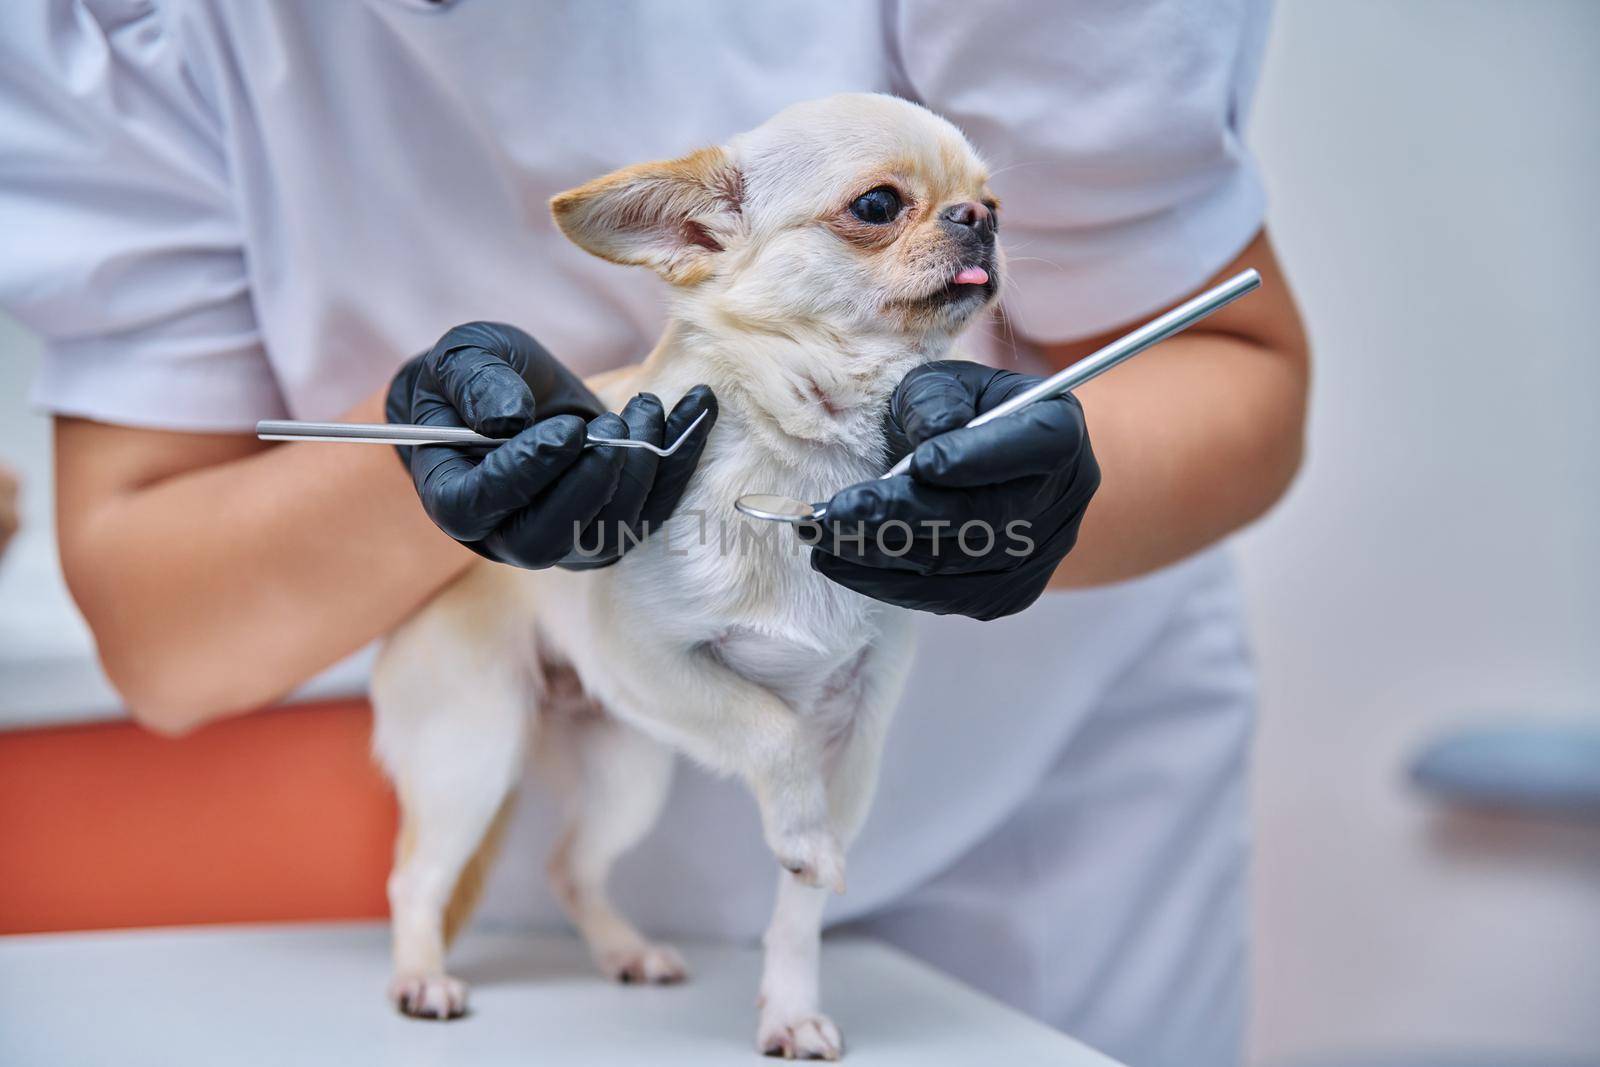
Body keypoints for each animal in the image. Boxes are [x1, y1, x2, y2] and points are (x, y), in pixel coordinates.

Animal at [369, 93, 1004, 1062]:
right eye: (878, 205)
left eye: (992, 199)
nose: (981, 219)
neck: (811, 453)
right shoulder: (648, 662)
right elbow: (773, 734)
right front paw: (797, 836)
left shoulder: (854, 732)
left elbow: (802, 898)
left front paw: (790, 1007)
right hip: (473, 751)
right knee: (417, 878)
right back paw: (420, 976)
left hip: (626, 769)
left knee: (567, 867)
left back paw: (624, 951)